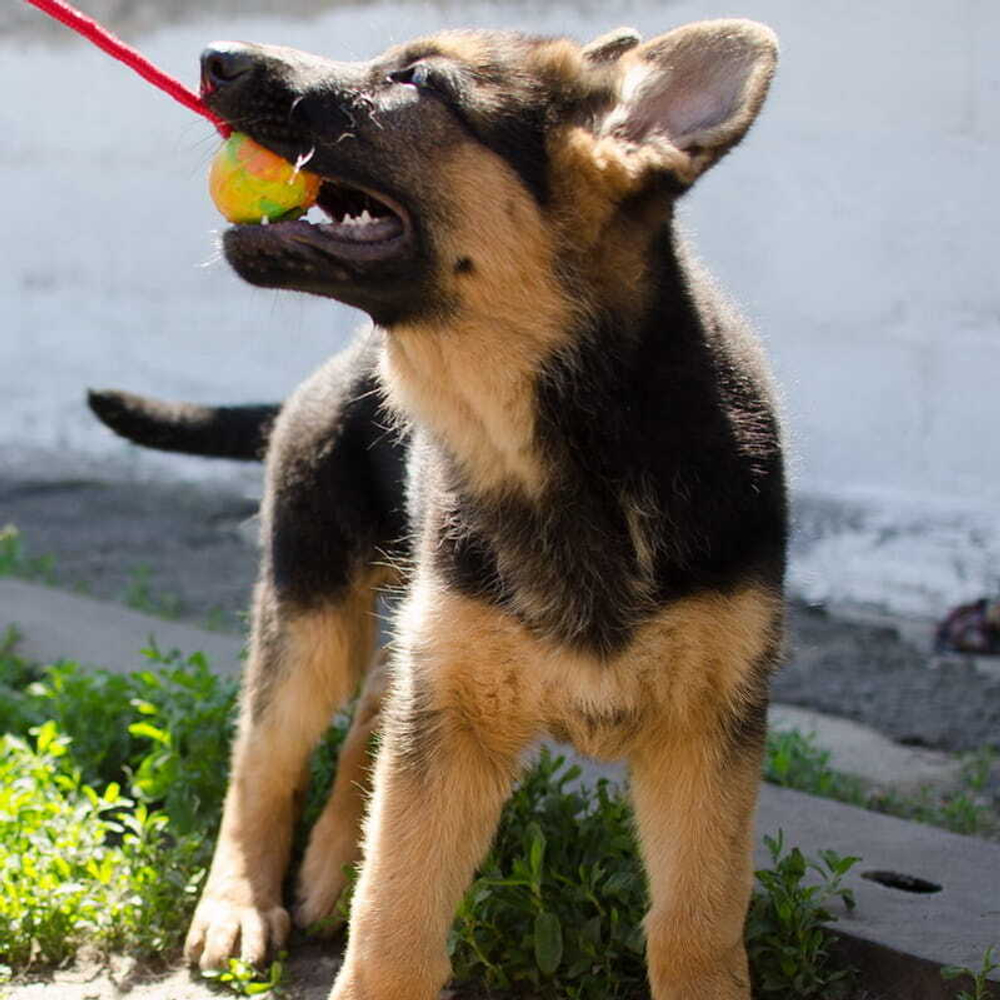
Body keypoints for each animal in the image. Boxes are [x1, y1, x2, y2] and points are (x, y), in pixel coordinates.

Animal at [90, 19, 784, 996]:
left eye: (419, 82)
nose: (215, 58)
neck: (561, 450)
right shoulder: (450, 725)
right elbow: (394, 925)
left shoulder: (705, 743)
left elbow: (697, 928)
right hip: (316, 615)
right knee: (266, 752)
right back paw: (240, 902)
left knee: (368, 715)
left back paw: (328, 857)